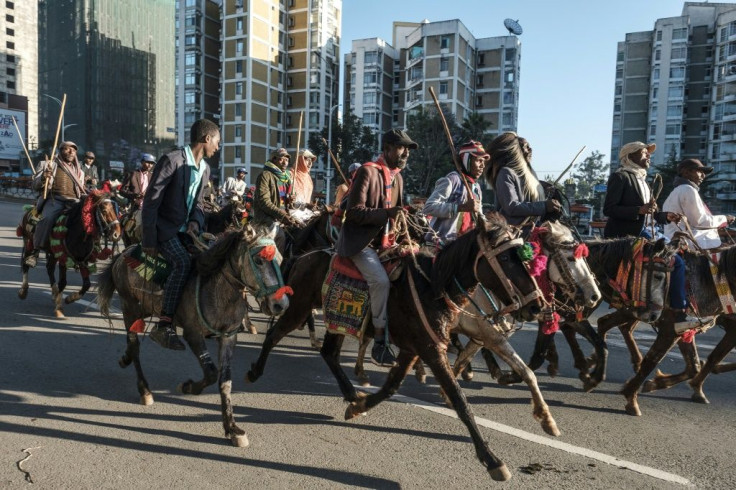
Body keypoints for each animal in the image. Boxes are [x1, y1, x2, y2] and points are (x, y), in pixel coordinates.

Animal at [96, 228, 292, 446]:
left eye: (281, 259)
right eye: (258, 260)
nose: (280, 305)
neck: (217, 289)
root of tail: (123, 253)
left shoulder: (228, 337)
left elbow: (225, 382)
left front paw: (232, 428)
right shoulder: (193, 334)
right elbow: (211, 373)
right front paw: (188, 387)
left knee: (132, 347)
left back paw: (125, 359)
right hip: (129, 307)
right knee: (135, 346)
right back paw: (144, 390)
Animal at [246, 218, 540, 482]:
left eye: (523, 257)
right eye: (506, 258)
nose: (536, 306)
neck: (432, 287)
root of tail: (306, 256)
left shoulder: (414, 349)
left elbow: (391, 387)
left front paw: (359, 406)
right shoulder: (432, 350)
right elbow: (460, 401)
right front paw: (492, 460)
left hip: (337, 320)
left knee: (329, 353)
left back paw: (352, 395)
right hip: (299, 307)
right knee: (274, 335)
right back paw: (254, 371)